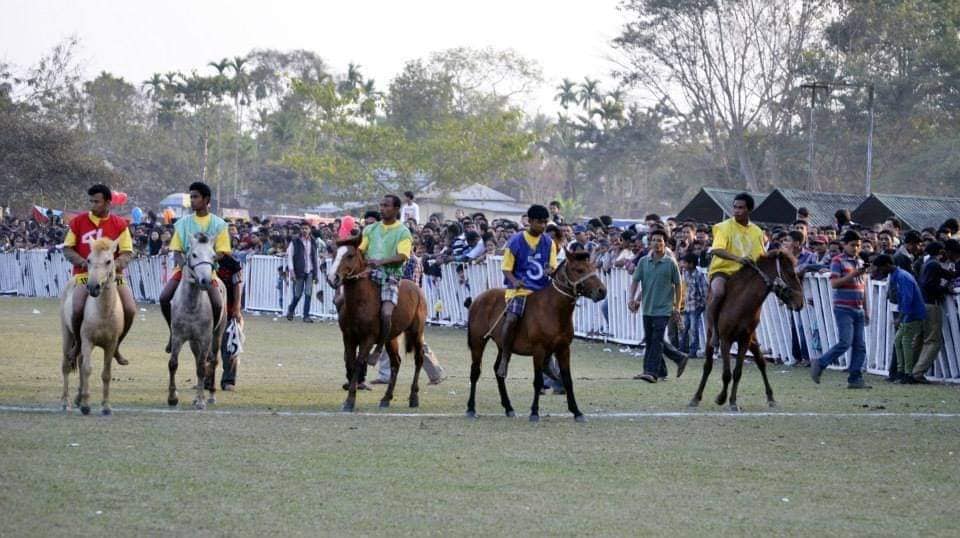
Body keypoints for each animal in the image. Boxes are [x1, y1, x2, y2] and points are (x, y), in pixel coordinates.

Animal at [61, 236, 124, 414]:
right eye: (88, 260)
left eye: (109, 261)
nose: (93, 287)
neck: (103, 312)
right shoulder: (88, 341)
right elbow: (88, 369)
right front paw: (86, 405)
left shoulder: (111, 345)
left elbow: (106, 374)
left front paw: (106, 406)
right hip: (68, 335)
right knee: (66, 366)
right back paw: (66, 401)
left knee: (80, 363)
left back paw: (78, 397)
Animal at [168, 232, 228, 408]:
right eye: (194, 254)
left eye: (213, 256)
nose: (205, 281)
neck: (191, 305)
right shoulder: (178, 337)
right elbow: (173, 364)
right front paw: (172, 397)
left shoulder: (205, 338)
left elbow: (202, 367)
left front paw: (201, 401)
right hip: (193, 341)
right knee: (197, 360)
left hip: (216, 335)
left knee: (213, 361)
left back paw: (211, 395)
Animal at [326, 234, 428, 410]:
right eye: (334, 254)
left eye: (350, 255)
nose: (333, 278)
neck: (360, 302)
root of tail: (417, 289)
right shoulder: (348, 337)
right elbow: (351, 362)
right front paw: (350, 392)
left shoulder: (368, 338)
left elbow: (359, 362)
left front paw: (350, 400)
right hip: (391, 337)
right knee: (396, 362)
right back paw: (386, 398)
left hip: (416, 331)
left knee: (419, 359)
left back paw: (414, 397)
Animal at [464, 249, 608, 420]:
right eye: (579, 270)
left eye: (593, 267)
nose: (602, 291)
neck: (553, 309)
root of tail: (478, 299)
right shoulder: (538, 350)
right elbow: (538, 381)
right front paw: (534, 411)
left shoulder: (563, 349)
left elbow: (567, 380)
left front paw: (576, 411)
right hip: (478, 341)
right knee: (475, 371)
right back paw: (471, 408)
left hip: (503, 346)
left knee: (499, 370)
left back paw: (508, 407)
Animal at [688, 249, 808, 408]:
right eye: (790, 273)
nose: (800, 302)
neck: (742, 303)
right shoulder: (725, 340)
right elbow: (726, 373)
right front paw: (721, 398)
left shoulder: (744, 340)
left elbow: (737, 372)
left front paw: (733, 401)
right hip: (710, 337)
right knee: (708, 366)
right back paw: (696, 397)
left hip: (752, 340)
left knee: (761, 363)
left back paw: (771, 397)